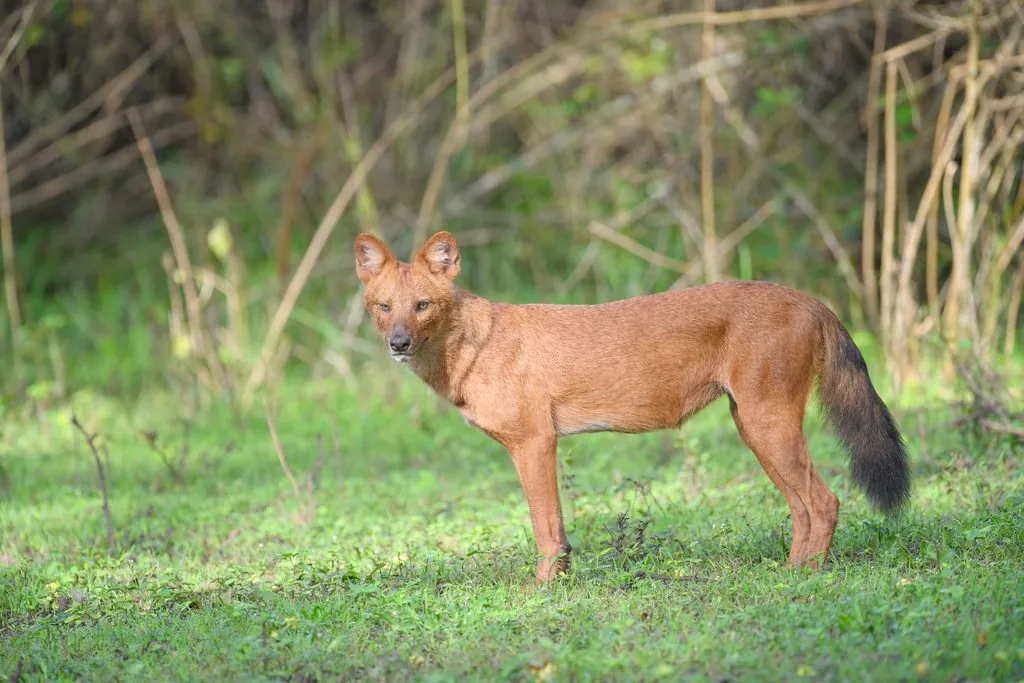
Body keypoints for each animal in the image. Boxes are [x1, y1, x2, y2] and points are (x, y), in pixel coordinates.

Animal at [354, 230, 910, 582]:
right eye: (384, 307)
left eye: (422, 305)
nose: (398, 343)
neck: (473, 347)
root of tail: (813, 300)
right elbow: (555, 527)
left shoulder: (535, 442)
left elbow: (546, 529)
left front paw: (545, 590)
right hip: (753, 428)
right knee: (803, 507)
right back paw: (790, 573)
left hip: (766, 424)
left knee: (826, 501)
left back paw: (807, 579)